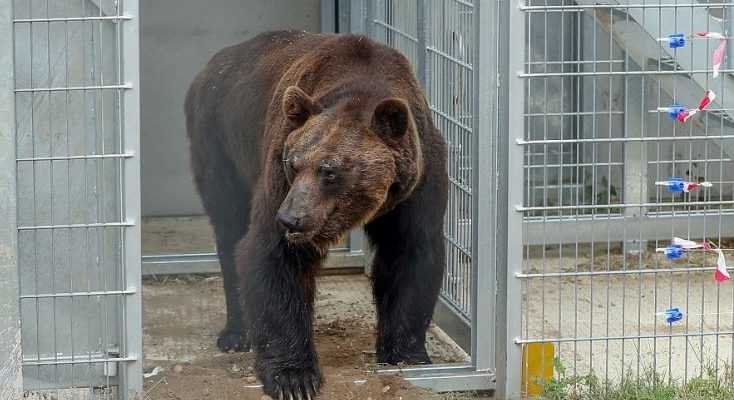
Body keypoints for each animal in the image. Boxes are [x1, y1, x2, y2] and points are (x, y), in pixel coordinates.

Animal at [185, 29, 448, 398]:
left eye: (330, 171)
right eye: (293, 163)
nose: (290, 218)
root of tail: (212, 64)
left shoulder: (417, 183)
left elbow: (410, 255)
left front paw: (407, 354)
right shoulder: (278, 167)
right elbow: (273, 255)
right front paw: (293, 376)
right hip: (219, 142)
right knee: (229, 227)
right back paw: (236, 333)